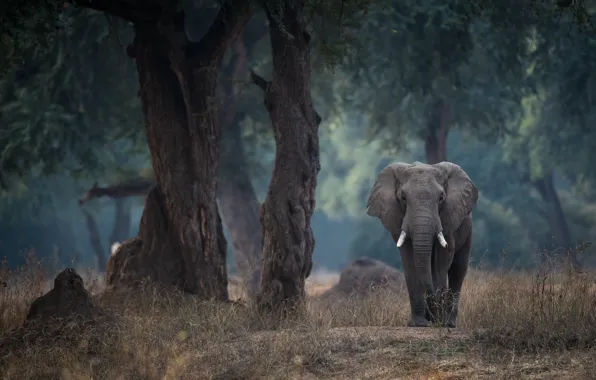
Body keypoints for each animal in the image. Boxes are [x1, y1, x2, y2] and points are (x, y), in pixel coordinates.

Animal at [366, 160, 478, 326]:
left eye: (441, 198)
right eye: (403, 198)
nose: (431, 318)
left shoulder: (448, 217)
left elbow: (443, 258)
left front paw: (436, 319)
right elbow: (409, 260)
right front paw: (419, 323)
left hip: (467, 226)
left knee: (458, 269)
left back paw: (448, 323)